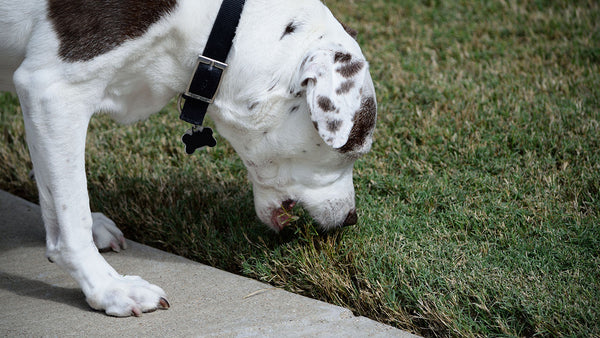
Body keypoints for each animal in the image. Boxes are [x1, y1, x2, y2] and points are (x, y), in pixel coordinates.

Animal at [0, 0, 376, 316]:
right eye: (353, 148)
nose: (352, 218)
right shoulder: (53, 91)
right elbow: (71, 213)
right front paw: (108, 288)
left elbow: (58, 195)